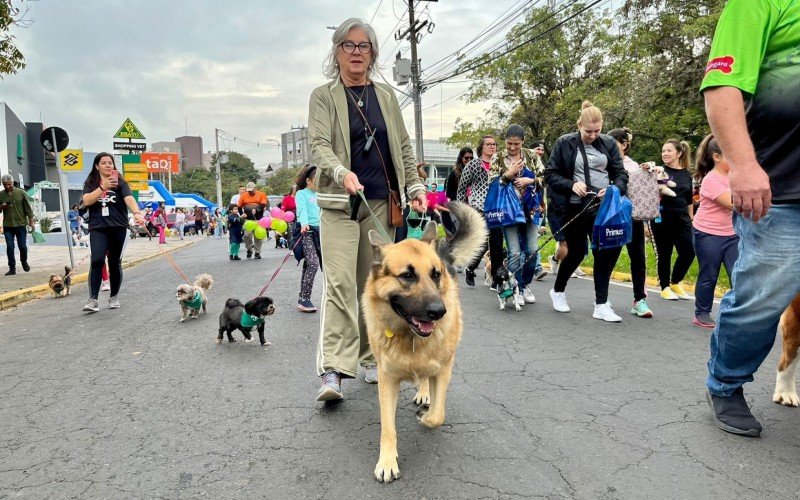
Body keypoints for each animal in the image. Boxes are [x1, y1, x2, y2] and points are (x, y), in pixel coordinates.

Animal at [364, 201, 488, 482]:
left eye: (435, 275)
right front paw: (387, 461)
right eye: (407, 276)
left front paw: (425, 416)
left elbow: (438, 416)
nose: (439, 312)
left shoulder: (443, 370)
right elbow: (388, 427)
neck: (410, 337)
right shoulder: (387, 380)